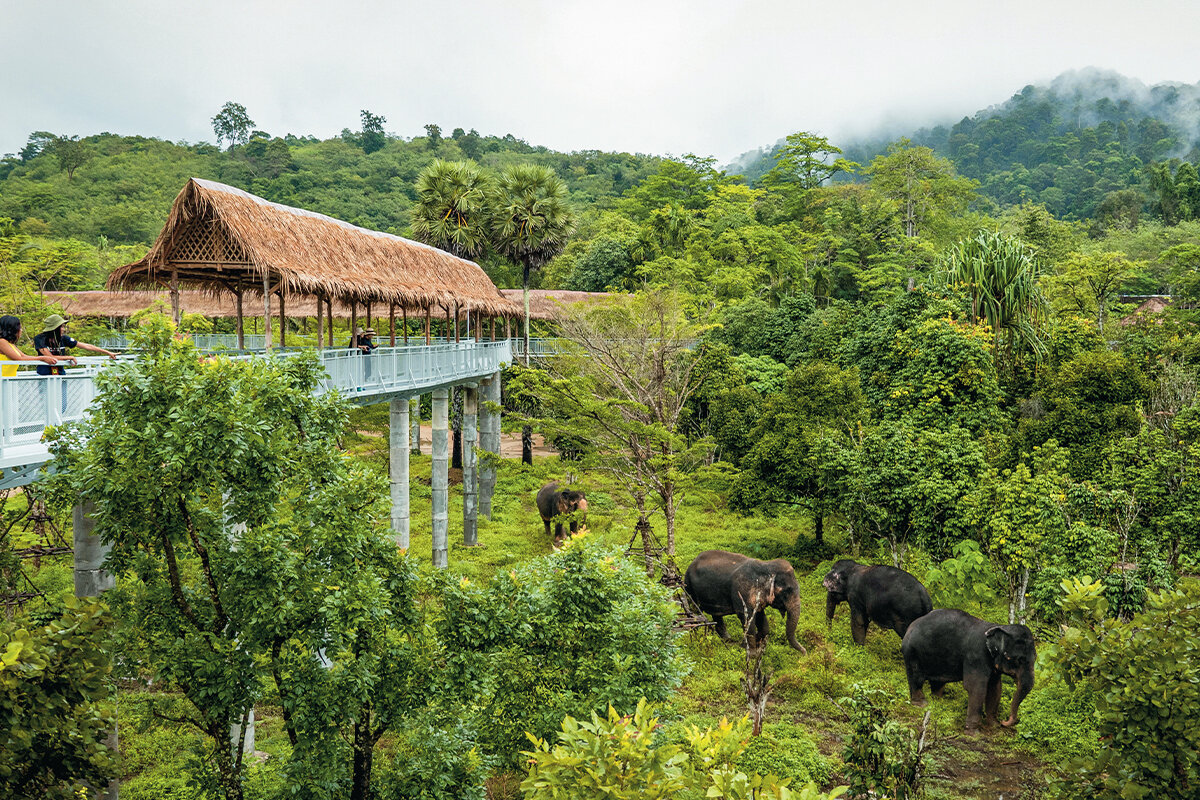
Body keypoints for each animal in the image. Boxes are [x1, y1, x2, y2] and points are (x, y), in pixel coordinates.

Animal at [902, 606, 1036, 734]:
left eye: (1035, 658)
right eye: (1018, 660)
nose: (1004, 721)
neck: (996, 626)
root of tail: (911, 626)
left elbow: (995, 688)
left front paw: (994, 726)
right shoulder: (976, 656)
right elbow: (976, 687)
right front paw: (974, 733)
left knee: (937, 682)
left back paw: (938, 702)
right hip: (912, 651)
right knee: (916, 676)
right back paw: (921, 704)